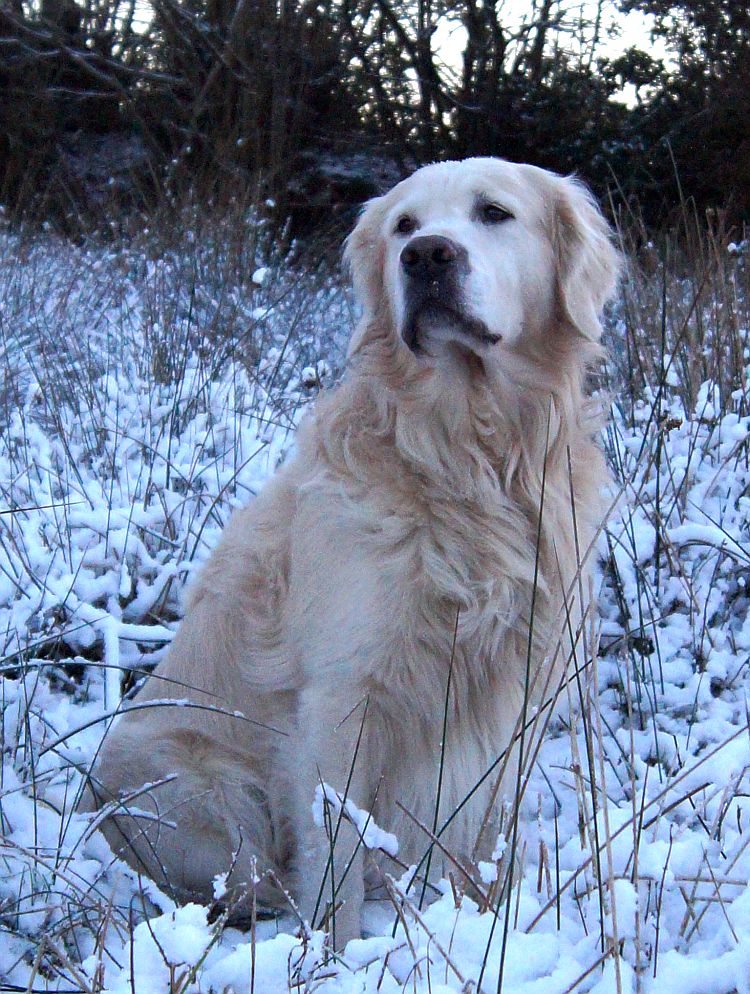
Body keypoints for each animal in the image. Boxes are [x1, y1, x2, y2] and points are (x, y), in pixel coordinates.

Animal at [85, 157, 620, 948]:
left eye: (494, 212)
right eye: (404, 225)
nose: (426, 256)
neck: (472, 455)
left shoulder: (517, 693)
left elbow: (486, 839)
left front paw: (485, 928)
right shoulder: (345, 697)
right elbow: (334, 855)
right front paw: (334, 958)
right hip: (196, 786)